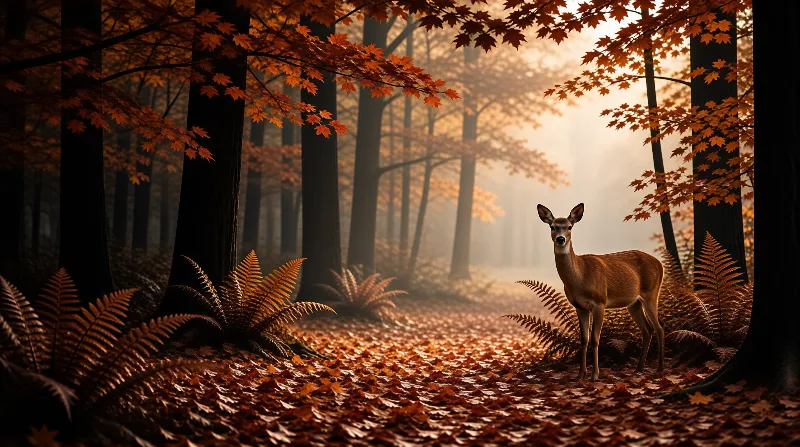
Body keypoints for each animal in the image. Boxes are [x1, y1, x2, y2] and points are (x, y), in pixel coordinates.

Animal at [536, 203, 664, 381]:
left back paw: (659, 368)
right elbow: (584, 339)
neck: (580, 277)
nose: (560, 239)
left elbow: (595, 339)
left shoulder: (600, 302)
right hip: (634, 303)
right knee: (647, 330)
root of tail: (660, 264)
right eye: (553, 226)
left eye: (569, 227)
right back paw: (638, 369)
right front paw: (580, 375)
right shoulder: (580, 307)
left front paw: (595, 375)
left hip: (651, 293)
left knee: (659, 328)